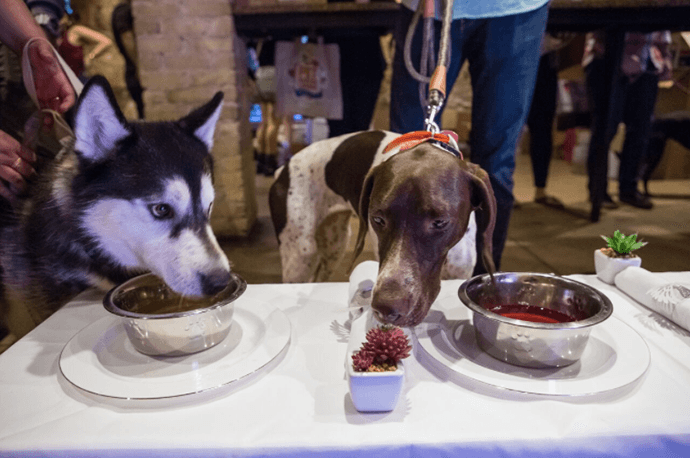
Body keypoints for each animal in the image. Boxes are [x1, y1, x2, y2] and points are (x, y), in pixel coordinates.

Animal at [268, 131, 494, 328]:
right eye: (377, 219)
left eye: (440, 222)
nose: (386, 308)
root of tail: (283, 169)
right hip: (300, 257)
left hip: (333, 248)